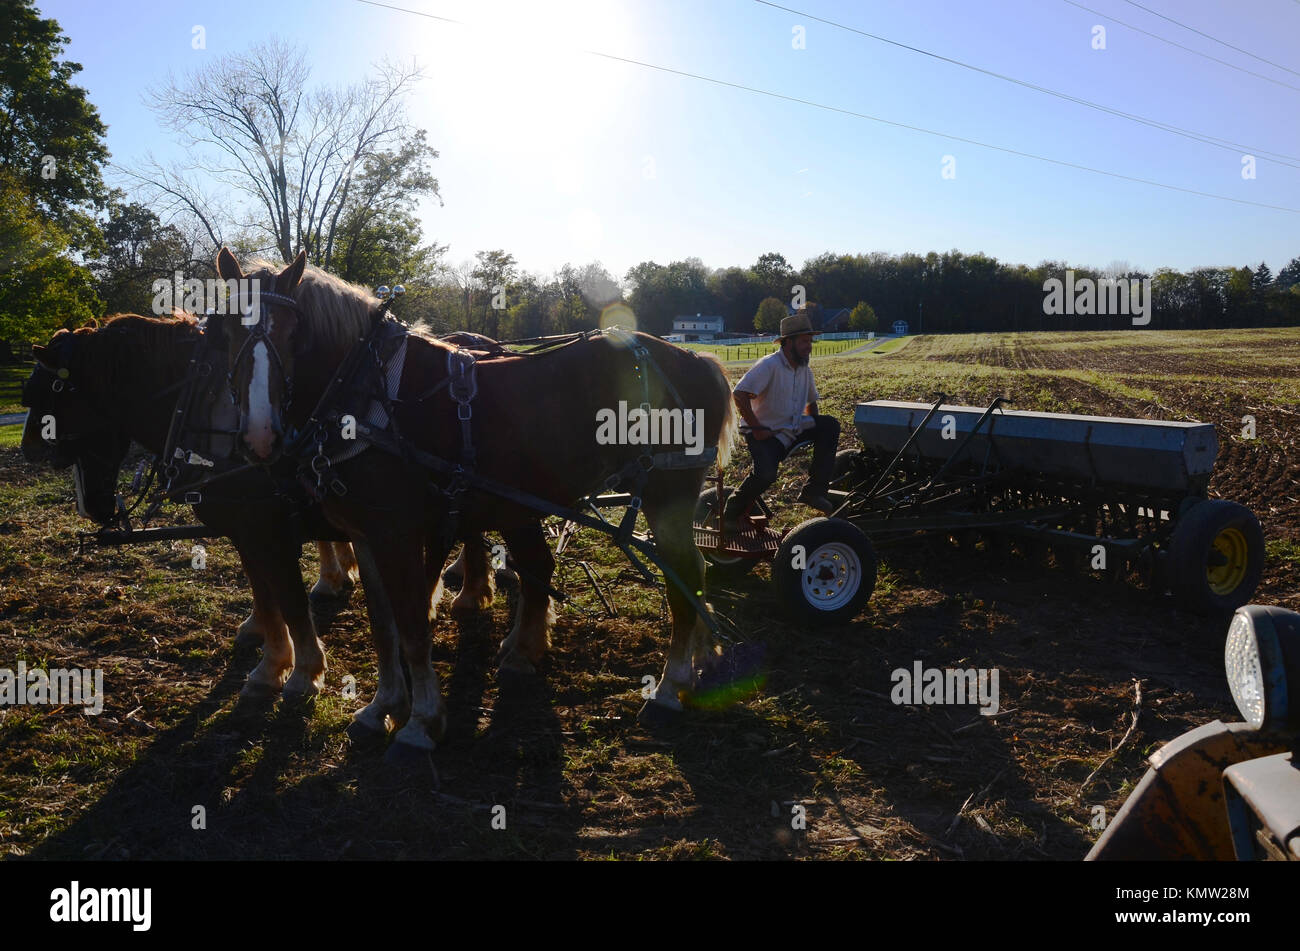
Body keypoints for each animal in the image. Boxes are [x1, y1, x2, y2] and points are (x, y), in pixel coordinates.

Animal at [20, 317, 364, 696]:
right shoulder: (245, 533)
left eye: (43, 394)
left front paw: (301, 669)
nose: (27, 449)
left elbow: (291, 601)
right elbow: (262, 590)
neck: (202, 412)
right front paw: (268, 652)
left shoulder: (265, 528)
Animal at [218, 249, 738, 763]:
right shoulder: (365, 534)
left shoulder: (395, 533)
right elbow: (383, 626)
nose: (259, 436)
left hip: (666, 494)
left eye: (293, 332)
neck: (368, 394)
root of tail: (696, 358)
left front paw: (421, 723)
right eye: (223, 328)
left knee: (684, 575)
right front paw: (382, 707)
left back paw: (669, 688)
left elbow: (411, 625)